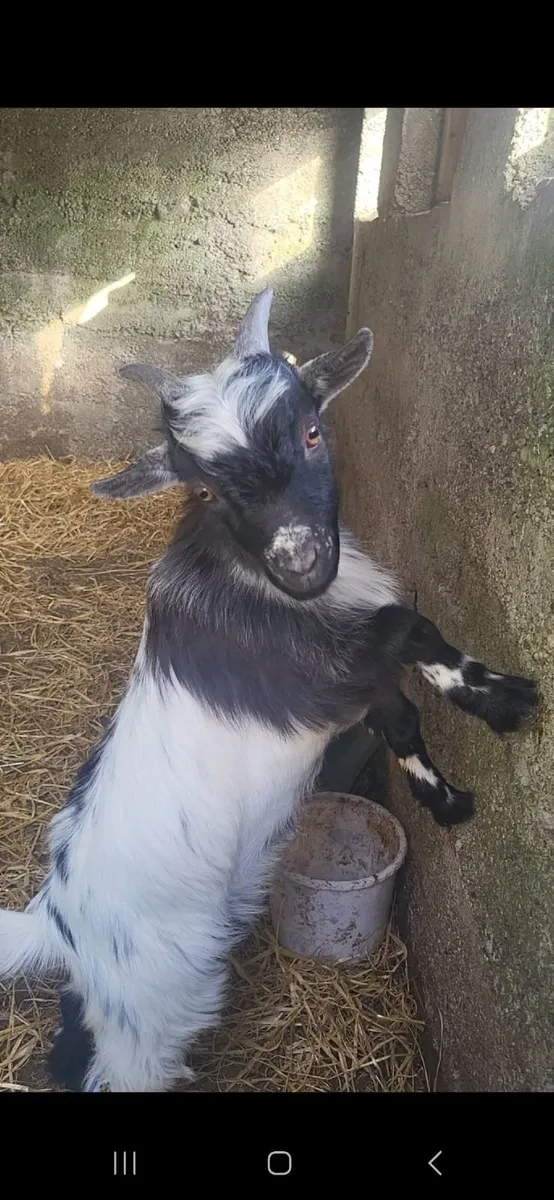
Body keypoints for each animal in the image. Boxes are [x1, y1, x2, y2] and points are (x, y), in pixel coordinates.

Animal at [0, 289, 538, 1093]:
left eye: (313, 431)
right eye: (204, 486)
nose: (300, 561)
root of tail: (58, 923)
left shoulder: (359, 685)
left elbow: (402, 720)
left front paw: (445, 799)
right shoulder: (328, 677)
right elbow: (410, 628)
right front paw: (501, 700)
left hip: (115, 996)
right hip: (154, 998)